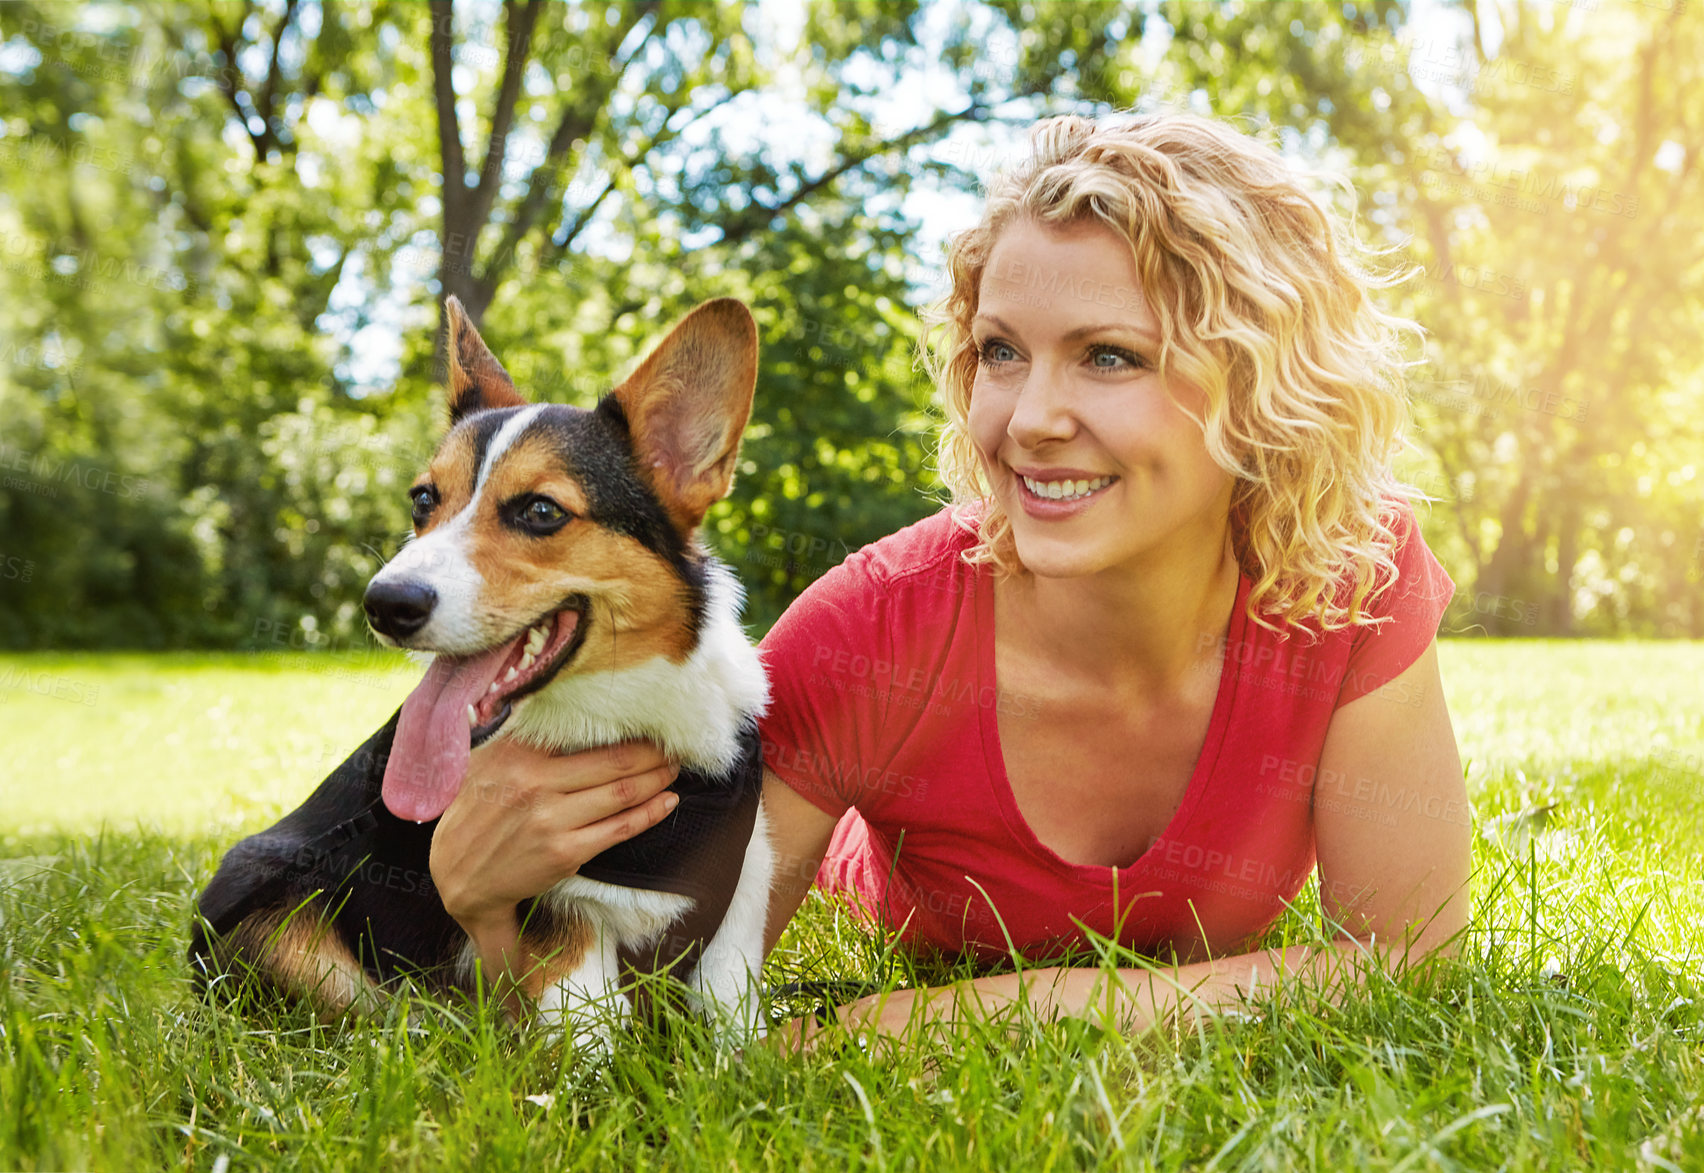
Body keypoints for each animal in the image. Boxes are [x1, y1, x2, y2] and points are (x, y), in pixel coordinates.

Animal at [191, 293, 773, 1043]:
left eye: (542, 510)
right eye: (423, 500)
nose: (385, 603)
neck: (631, 714)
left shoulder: (737, 924)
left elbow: (737, 1033)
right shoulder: (564, 924)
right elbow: (594, 1038)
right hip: (274, 909)